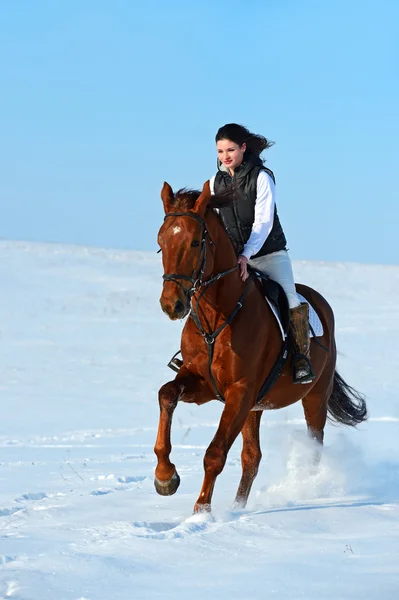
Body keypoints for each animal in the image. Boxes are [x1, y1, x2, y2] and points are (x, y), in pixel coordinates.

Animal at [154, 180, 368, 512]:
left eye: (195, 243)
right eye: (161, 242)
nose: (171, 305)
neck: (217, 319)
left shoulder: (240, 391)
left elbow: (215, 454)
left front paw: (201, 513)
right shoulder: (204, 384)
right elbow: (166, 394)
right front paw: (165, 478)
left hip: (314, 397)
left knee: (313, 445)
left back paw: (306, 492)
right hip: (254, 407)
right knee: (252, 457)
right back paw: (237, 509)